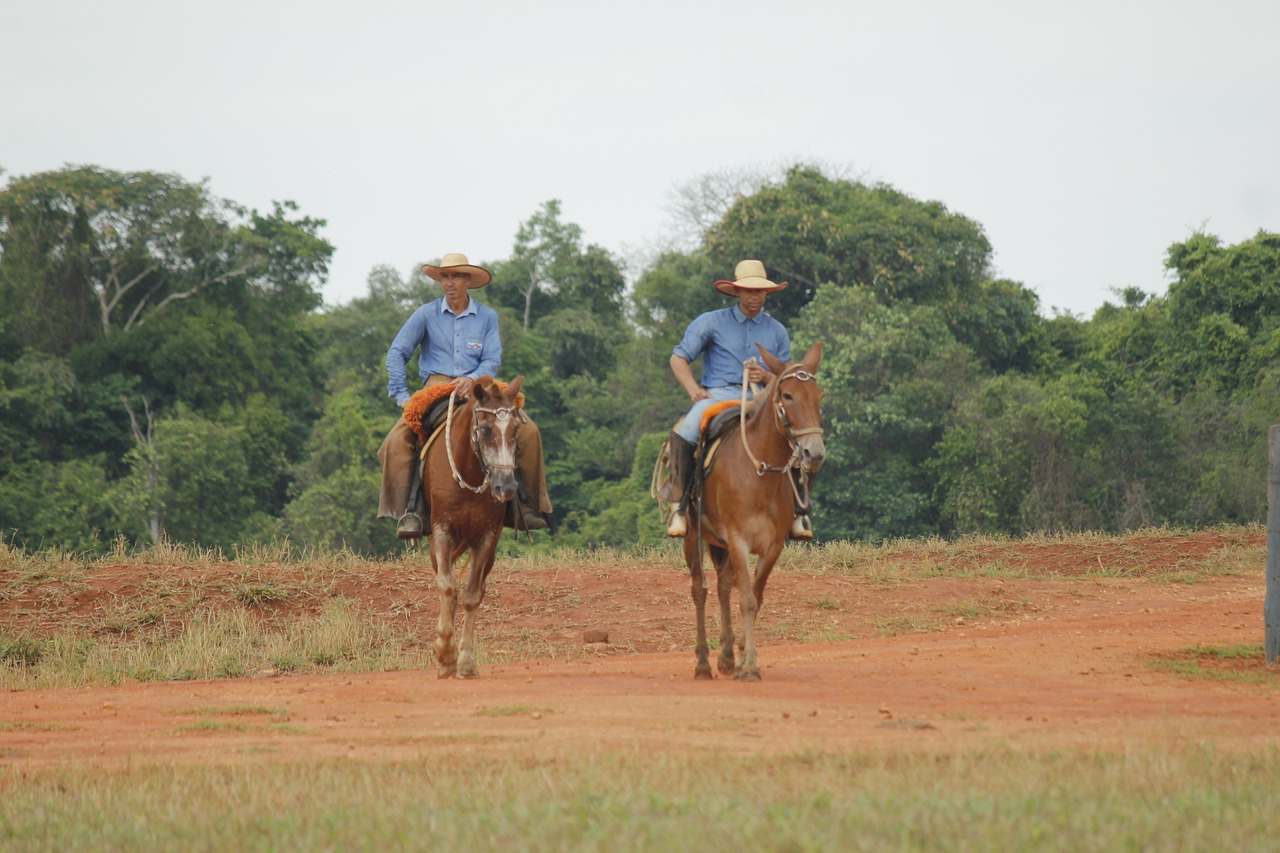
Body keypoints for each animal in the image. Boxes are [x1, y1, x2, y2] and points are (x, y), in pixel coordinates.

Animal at [424, 376, 524, 676]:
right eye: (486, 429)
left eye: (516, 429)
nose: (506, 487)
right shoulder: (441, 529)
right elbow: (446, 585)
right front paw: (445, 652)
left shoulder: (488, 536)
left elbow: (471, 594)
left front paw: (464, 660)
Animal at [686, 338, 824, 676]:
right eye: (787, 395)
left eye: (820, 396)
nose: (814, 453)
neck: (759, 474)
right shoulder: (738, 539)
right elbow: (746, 599)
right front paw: (749, 666)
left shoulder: (773, 545)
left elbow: (755, 597)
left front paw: (741, 655)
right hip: (693, 536)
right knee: (699, 589)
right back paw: (703, 663)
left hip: (719, 544)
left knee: (723, 585)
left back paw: (725, 657)